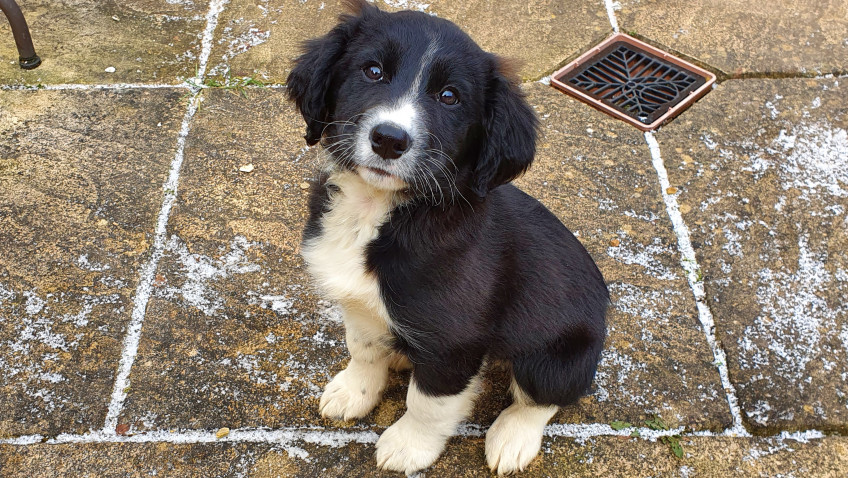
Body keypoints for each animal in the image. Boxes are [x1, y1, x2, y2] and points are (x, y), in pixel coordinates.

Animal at [286, 1, 608, 474]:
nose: (389, 139)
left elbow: (429, 402)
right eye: (373, 71)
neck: (380, 212)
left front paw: (409, 446)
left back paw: (513, 437)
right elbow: (363, 348)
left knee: (542, 398)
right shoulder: (360, 305)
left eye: (449, 97)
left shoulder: (453, 341)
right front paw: (354, 391)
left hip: (557, 355)